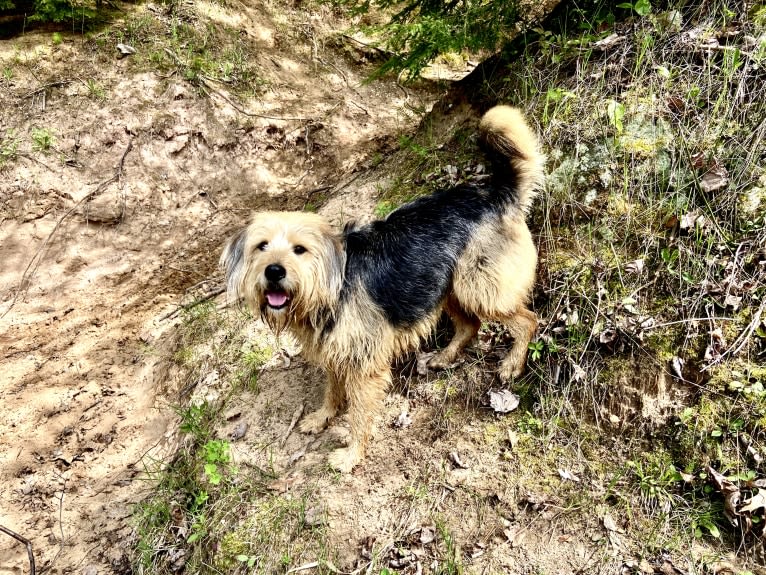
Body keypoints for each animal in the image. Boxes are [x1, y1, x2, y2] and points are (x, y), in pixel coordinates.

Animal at [220, 104, 544, 472]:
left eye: (299, 250)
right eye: (261, 246)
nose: (274, 271)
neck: (331, 286)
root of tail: (497, 195)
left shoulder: (365, 367)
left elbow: (359, 414)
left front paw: (351, 455)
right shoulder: (336, 354)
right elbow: (332, 390)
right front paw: (322, 417)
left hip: (480, 288)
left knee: (527, 320)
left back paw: (512, 364)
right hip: (445, 286)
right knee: (469, 325)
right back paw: (444, 357)